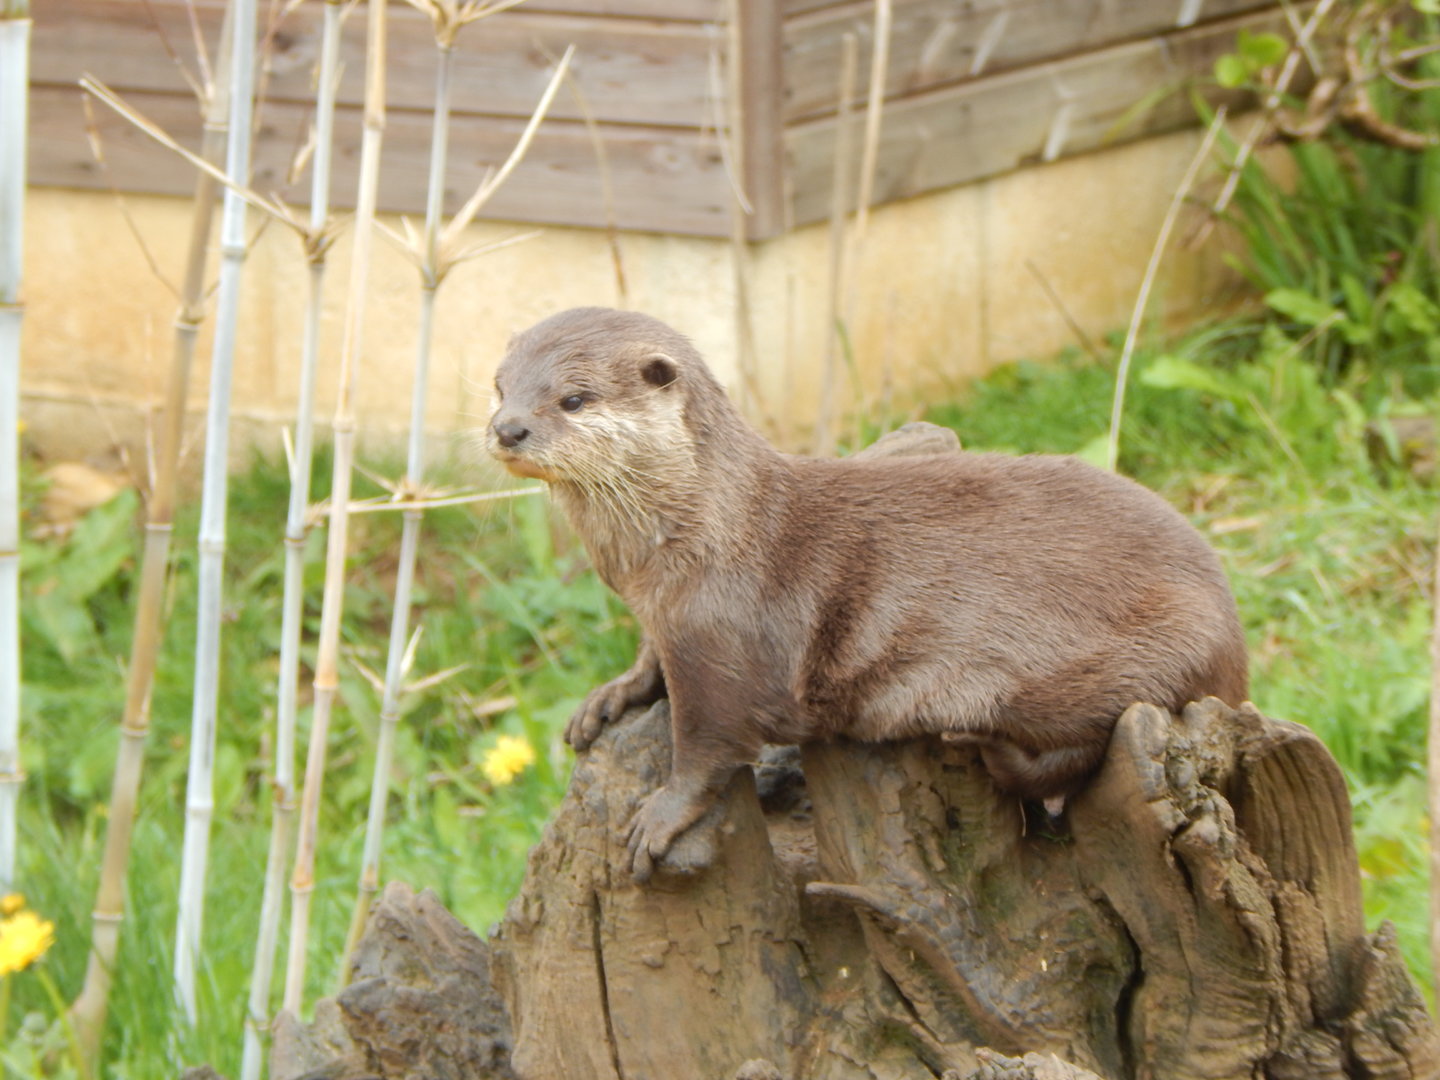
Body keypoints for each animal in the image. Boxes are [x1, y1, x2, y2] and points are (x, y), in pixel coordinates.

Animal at [487, 307, 1248, 881]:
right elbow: (650, 664)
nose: (506, 428)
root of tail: (1234, 642)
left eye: (574, 397)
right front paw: (610, 696)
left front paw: (663, 814)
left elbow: (709, 741)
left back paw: (980, 740)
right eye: (499, 386)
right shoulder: (667, 619)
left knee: (1085, 745)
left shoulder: (723, 641)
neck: (690, 537)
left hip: (1138, 656)